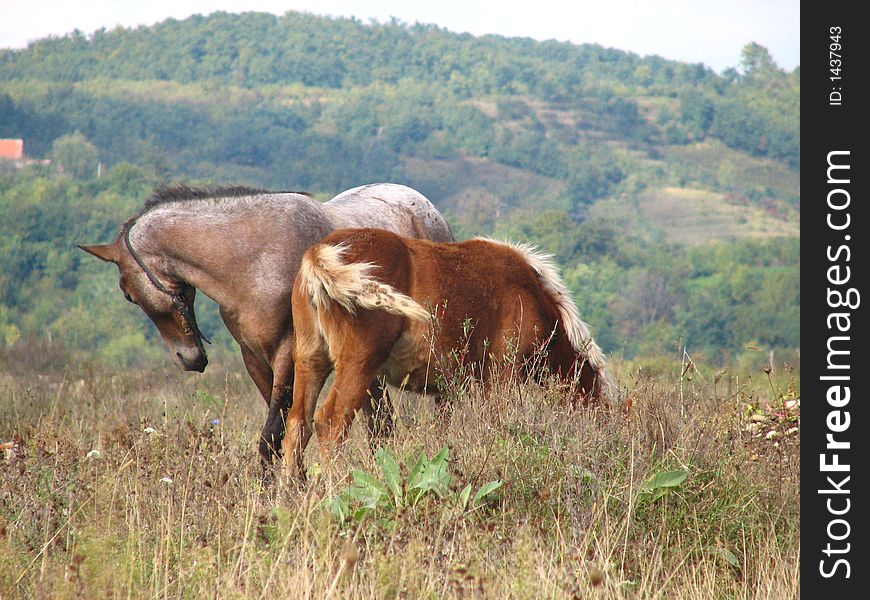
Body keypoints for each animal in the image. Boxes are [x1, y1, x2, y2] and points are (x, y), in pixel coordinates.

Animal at [78, 183, 454, 464]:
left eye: (127, 293)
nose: (188, 358)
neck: (255, 260)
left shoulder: (288, 354)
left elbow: (274, 434)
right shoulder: (255, 358)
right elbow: (287, 429)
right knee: (379, 420)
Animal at [286, 227, 608, 476]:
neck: (532, 296)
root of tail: (319, 252)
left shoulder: (447, 390)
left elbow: (443, 433)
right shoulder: (501, 379)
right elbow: (497, 427)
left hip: (311, 361)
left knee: (297, 425)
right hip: (359, 364)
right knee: (331, 423)